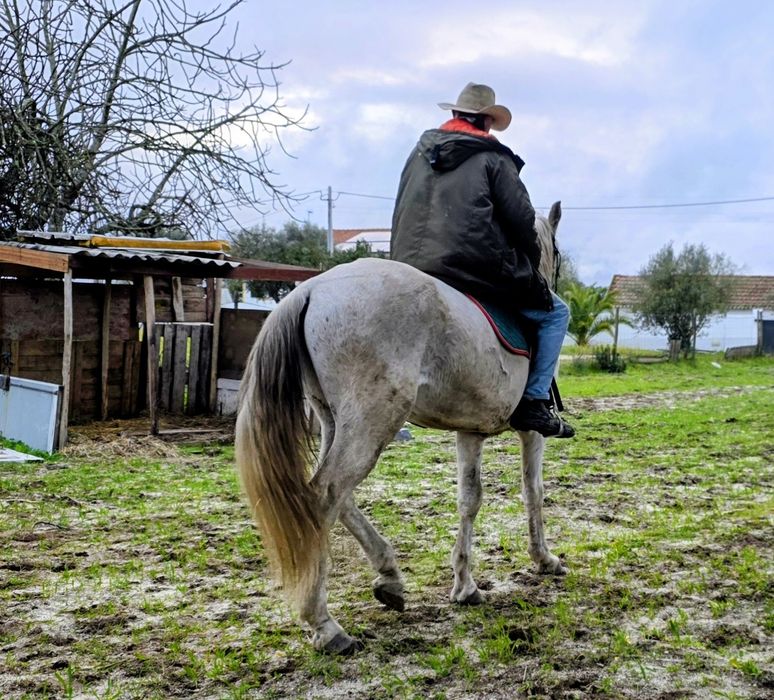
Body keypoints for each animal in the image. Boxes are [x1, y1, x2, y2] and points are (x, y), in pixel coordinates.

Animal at [236, 201, 567, 655]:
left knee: (335, 497)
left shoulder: (469, 432)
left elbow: (469, 500)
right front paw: (544, 559)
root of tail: (313, 289)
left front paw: (465, 586)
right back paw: (326, 625)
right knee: (325, 496)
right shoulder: (531, 432)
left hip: (335, 420)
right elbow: (533, 491)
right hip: (373, 419)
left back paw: (389, 577)